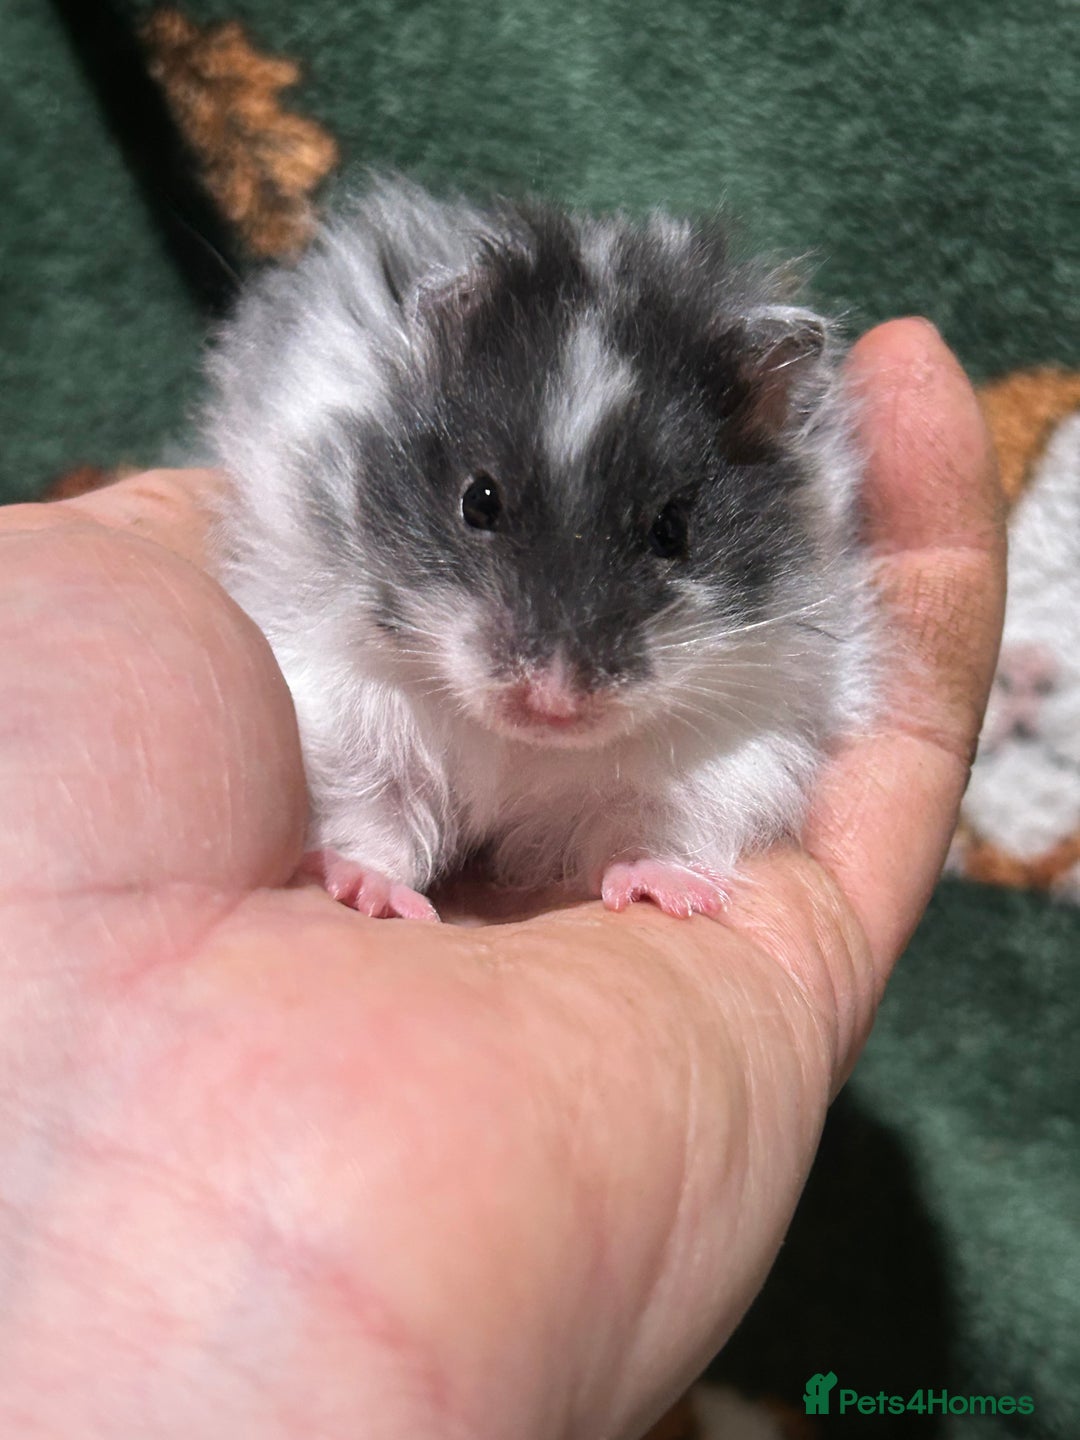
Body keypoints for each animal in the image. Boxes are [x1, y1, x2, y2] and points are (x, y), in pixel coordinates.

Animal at [205, 177, 873, 920]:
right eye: (478, 501)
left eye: (672, 530)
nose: (553, 701)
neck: (519, 744)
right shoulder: (347, 709)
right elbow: (380, 815)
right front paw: (367, 891)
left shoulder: (726, 753)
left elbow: (647, 826)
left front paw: (662, 889)